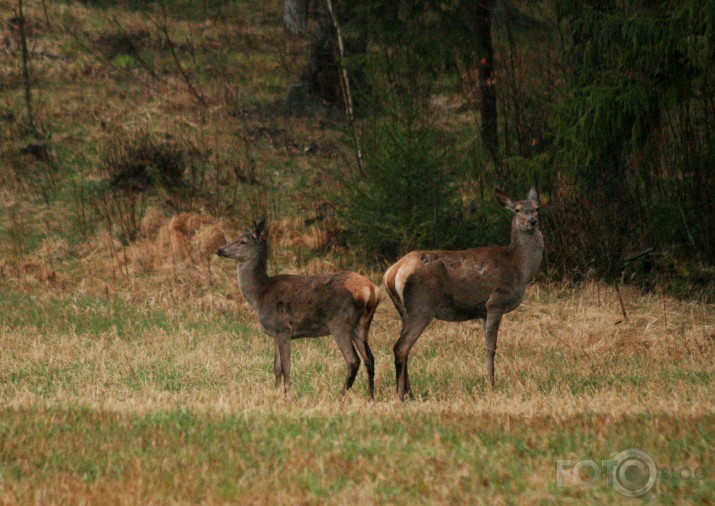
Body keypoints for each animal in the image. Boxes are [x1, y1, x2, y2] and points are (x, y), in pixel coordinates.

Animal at [215, 217, 380, 400]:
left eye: (242, 241)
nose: (219, 250)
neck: (259, 295)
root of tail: (370, 291)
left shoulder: (283, 327)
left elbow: (286, 367)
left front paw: (287, 396)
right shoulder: (275, 332)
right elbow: (276, 367)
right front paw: (277, 394)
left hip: (339, 322)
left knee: (353, 360)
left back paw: (341, 396)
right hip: (361, 325)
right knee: (370, 358)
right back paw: (371, 397)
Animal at [386, 188, 544, 402]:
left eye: (536, 208)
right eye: (517, 209)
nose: (532, 221)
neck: (520, 268)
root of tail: (393, 272)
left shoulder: (483, 311)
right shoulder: (495, 302)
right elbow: (491, 347)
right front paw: (491, 384)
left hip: (404, 311)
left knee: (404, 346)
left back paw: (409, 393)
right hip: (422, 305)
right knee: (401, 346)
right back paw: (401, 395)